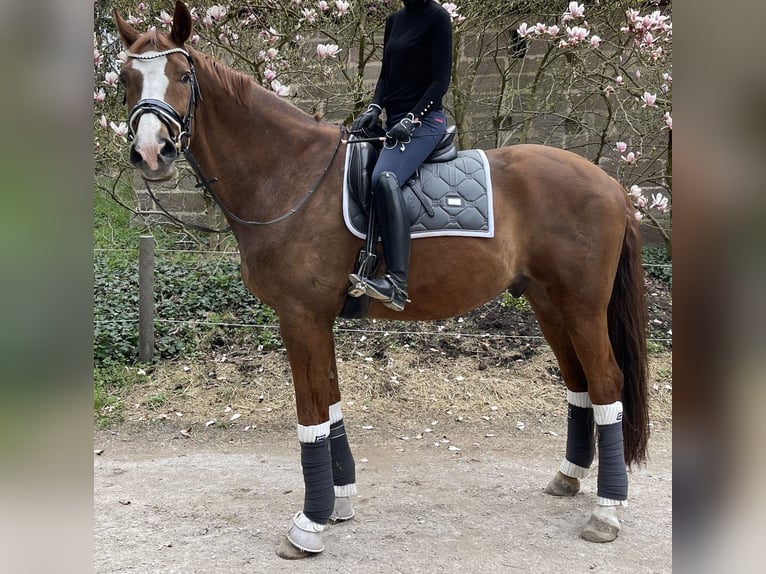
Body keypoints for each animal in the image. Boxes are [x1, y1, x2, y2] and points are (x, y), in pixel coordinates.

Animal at [117, 0, 652, 560]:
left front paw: (309, 523)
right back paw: (570, 478)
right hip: (550, 305)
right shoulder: (315, 320)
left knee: (607, 384)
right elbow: (330, 406)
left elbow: (312, 415)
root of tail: (611, 185)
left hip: (583, 307)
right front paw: (338, 503)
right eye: (126, 79)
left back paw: (606, 511)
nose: (152, 152)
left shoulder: (300, 318)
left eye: (182, 76)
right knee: (580, 385)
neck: (291, 173)